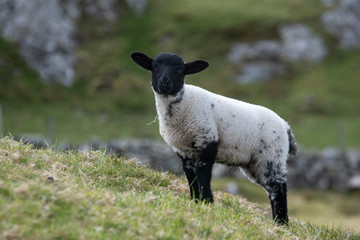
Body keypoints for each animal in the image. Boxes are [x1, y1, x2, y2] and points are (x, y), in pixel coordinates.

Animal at [131, 51, 296, 225]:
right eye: (155, 66)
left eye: (180, 70)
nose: (164, 82)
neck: (183, 104)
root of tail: (285, 125)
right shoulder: (184, 151)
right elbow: (191, 177)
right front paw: (195, 201)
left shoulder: (207, 140)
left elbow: (203, 174)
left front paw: (207, 202)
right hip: (254, 163)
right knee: (271, 189)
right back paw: (277, 222)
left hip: (272, 155)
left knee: (278, 187)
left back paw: (282, 223)